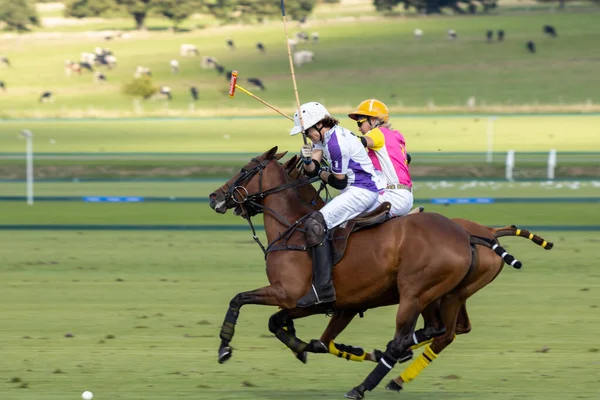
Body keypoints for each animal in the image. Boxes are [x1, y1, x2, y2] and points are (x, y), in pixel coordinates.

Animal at [210, 148, 520, 400]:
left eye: (245, 169)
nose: (214, 197)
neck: (293, 228)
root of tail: (472, 235)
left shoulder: (289, 293)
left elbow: (239, 299)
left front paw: (225, 347)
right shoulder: (328, 305)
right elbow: (297, 331)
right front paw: (305, 347)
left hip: (415, 295)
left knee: (408, 339)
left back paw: (364, 386)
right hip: (441, 295)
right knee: (442, 330)